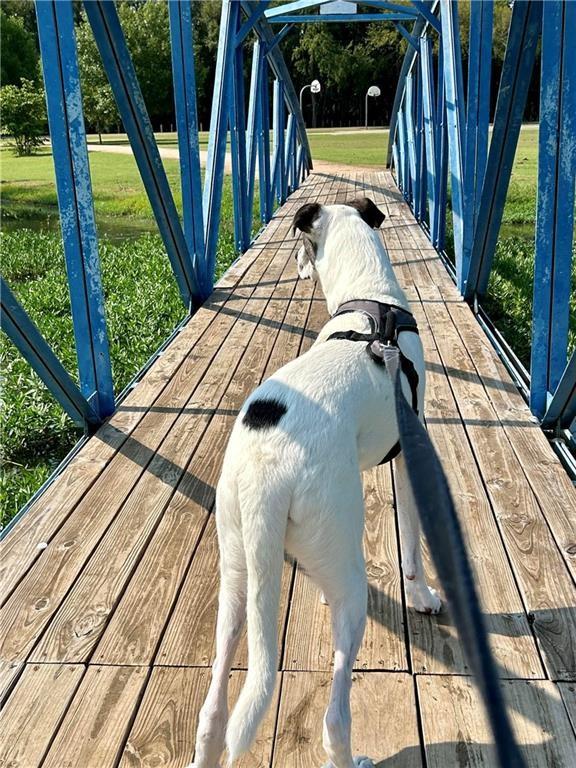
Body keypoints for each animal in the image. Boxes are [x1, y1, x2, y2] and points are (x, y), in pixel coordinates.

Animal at [191, 196, 438, 768]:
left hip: (236, 573)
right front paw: (420, 593)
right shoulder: (408, 454)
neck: (372, 299)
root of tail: (266, 473)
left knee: (214, 712)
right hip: (348, 590)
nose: (298, 267)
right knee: (335, 716)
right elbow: (412, 545)